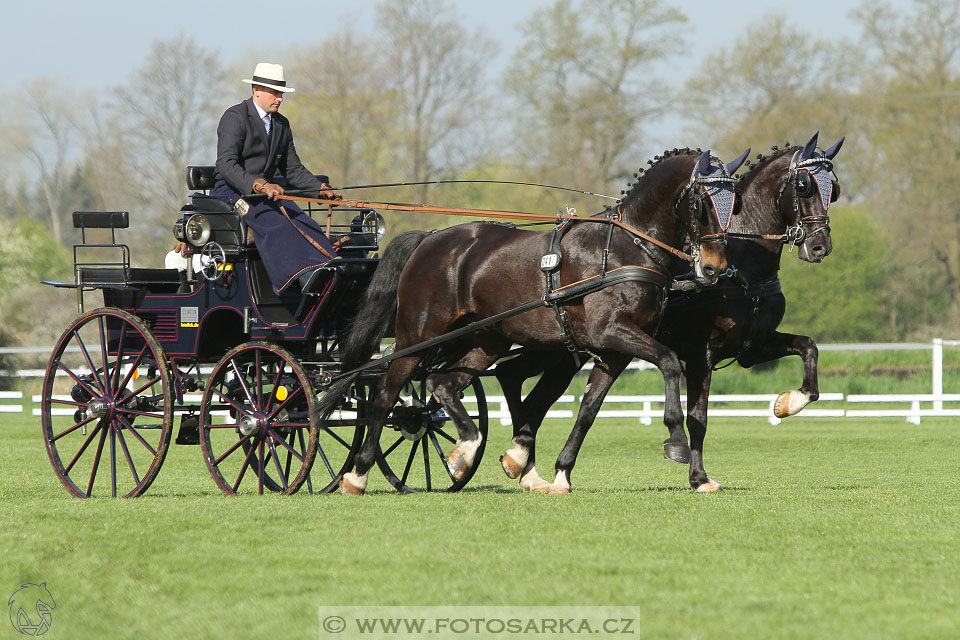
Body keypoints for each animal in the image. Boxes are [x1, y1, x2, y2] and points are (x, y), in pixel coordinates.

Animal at [318, 149, 748, 496]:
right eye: (702, 202)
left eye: (735, 203)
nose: (715, 267)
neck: (629, 248)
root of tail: (430, 239)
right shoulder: (613, 333)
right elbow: (670, 363)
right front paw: (675, 439)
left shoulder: (614, 350)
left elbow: (589, 408)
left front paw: (559, 474)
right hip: (418, 335)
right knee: (386, 392)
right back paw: (357, 475)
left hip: (485, 340)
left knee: (441, 384)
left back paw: (466, 451)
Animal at [492, 129, 844, 490]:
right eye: (803, 185)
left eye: (834, 189)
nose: (819, 246)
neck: (741, 266)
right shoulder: (702, 352)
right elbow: (698, 417)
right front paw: (699, 476)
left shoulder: (753, 346)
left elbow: (808, 347)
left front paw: (790, 402)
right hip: (555, 349)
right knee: (521, 386)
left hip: (562, 352)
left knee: (524, 388)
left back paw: (528, 465)